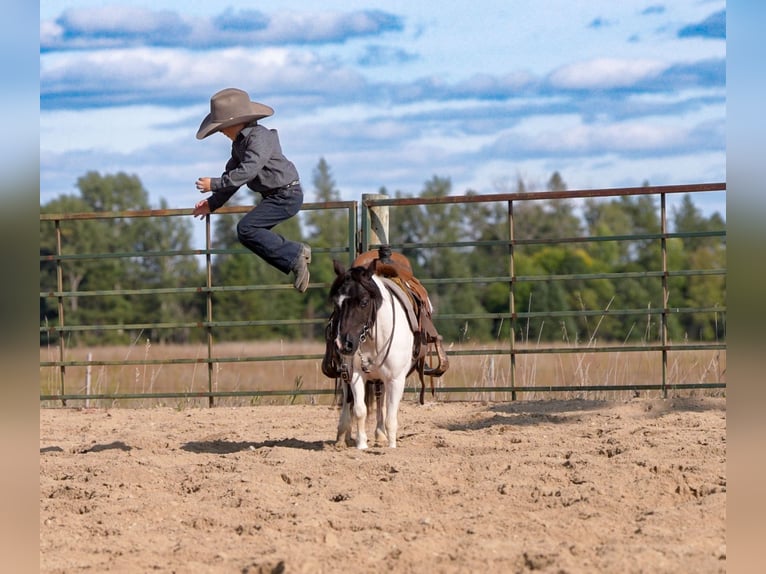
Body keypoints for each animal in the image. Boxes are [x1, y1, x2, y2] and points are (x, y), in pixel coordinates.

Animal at [328, 258, 415, 449]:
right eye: (336, 304)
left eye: (364, 302)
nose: (344, 344)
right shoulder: (355, 374)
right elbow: (360, 410)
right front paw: (361, 444)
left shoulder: (396, 379)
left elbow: (390, 416)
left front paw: (391, 446)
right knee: (349, 400)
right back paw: (342, 436)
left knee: (382, 402)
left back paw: (381, 435)